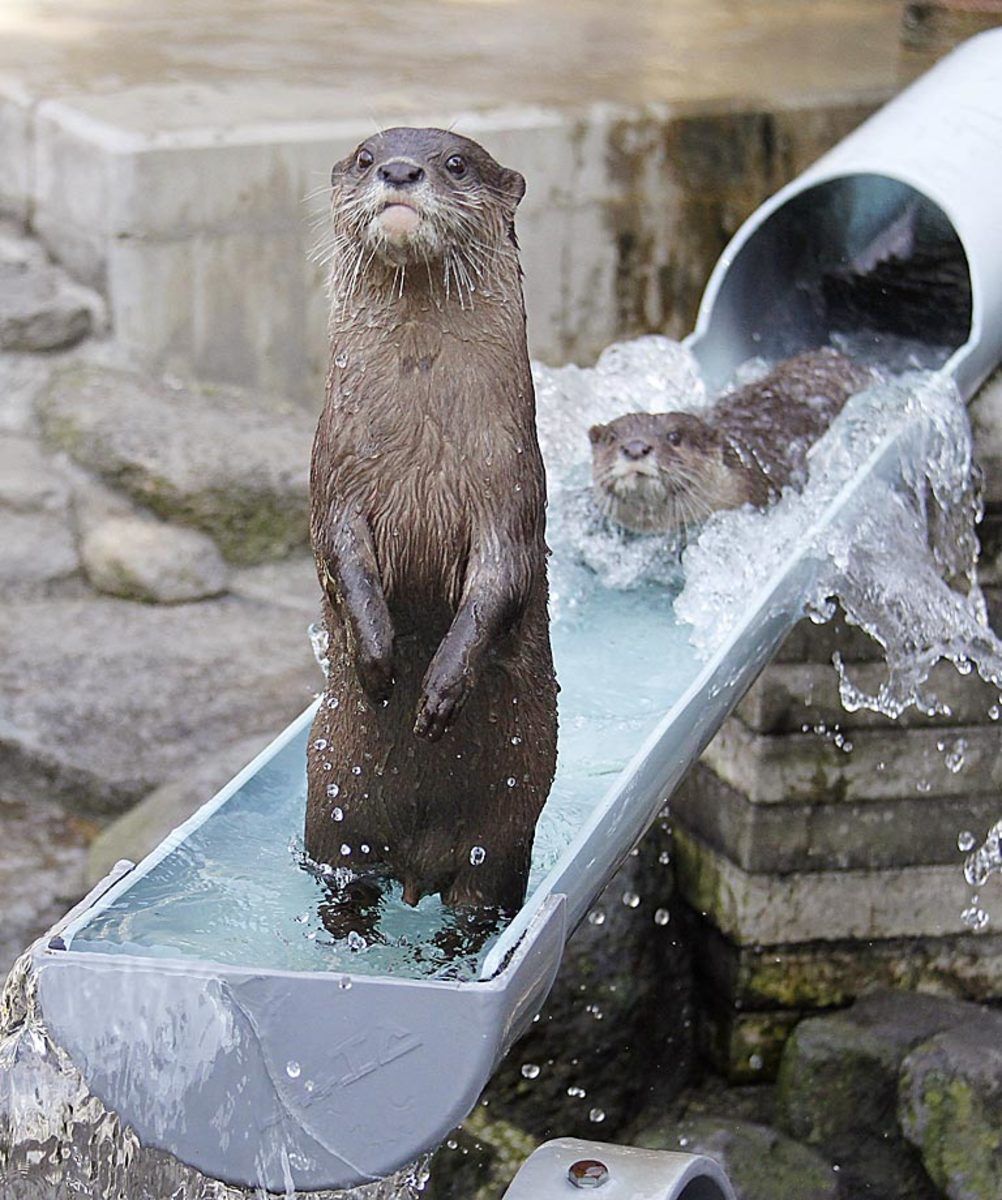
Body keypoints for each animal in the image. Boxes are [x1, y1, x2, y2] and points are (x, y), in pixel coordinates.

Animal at [305, 127, 557, 921]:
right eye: (363, 156)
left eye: (455, 163)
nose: (398, 169)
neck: (419, 449)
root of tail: (417, 862)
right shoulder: (334, 479)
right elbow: (342, 559)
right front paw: (379, 660)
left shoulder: (512, 493)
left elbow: (500, 583)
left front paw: (439, 690)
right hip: (334, 812)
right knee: (344, 880)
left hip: (503, 836)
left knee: (479, 899)